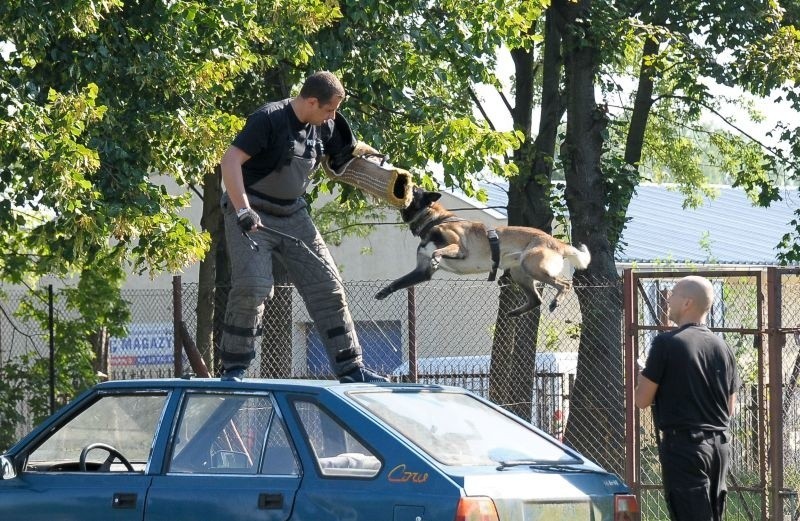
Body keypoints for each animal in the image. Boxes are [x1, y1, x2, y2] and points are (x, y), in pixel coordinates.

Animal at [372, 188, 592, 314]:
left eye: (414, 189)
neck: (433, 220)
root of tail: (556, 242)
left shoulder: (459, 248)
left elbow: (438, 252)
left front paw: (437, 257)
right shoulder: (422, 272)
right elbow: (398, 281)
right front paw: (384, 292)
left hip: (532, 266)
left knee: (565, 284)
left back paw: (556, 301)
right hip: (520, 272)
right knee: (536, 299)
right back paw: (514, 313)